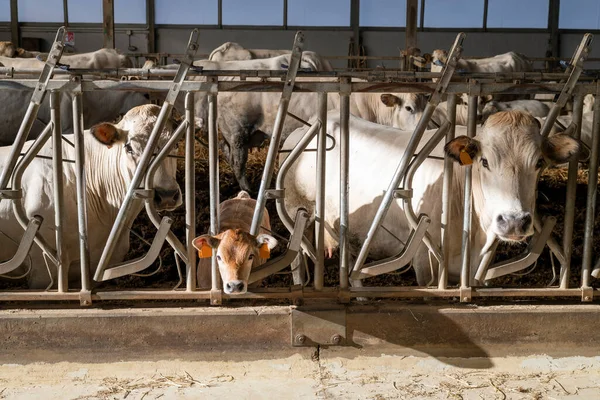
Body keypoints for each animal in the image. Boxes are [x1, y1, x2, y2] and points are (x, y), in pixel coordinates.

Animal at [284, 109, 580, 284]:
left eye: (539, 162)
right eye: (484, 161)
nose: (514, 221)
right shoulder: (424, 261)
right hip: (296, 208)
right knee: (298, 257)